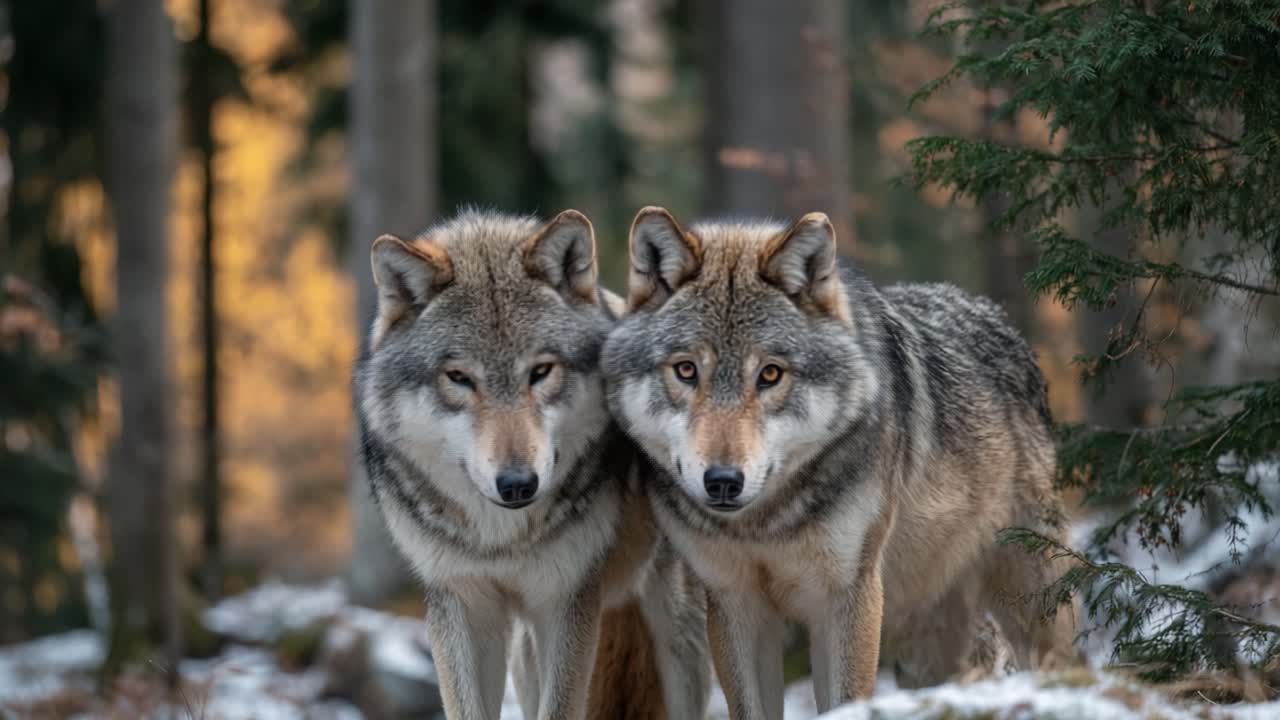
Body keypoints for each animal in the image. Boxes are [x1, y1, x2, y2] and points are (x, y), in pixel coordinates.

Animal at [354, 209, 710, 720]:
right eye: (459, 378)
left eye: (540, 372)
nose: (517, 484)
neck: (500, 541)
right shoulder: (462, 605)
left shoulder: (566, 602)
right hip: (526, 652)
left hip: (678, 637)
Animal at [601, 206, 1078, 718]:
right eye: (686, 370)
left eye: (770, 374)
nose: (724, 482)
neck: (767, 525)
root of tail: (1000, 319)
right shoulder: (735, 604)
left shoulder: (847, 597)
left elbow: (845, 699)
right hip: (926, 640)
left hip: (1030, 599)